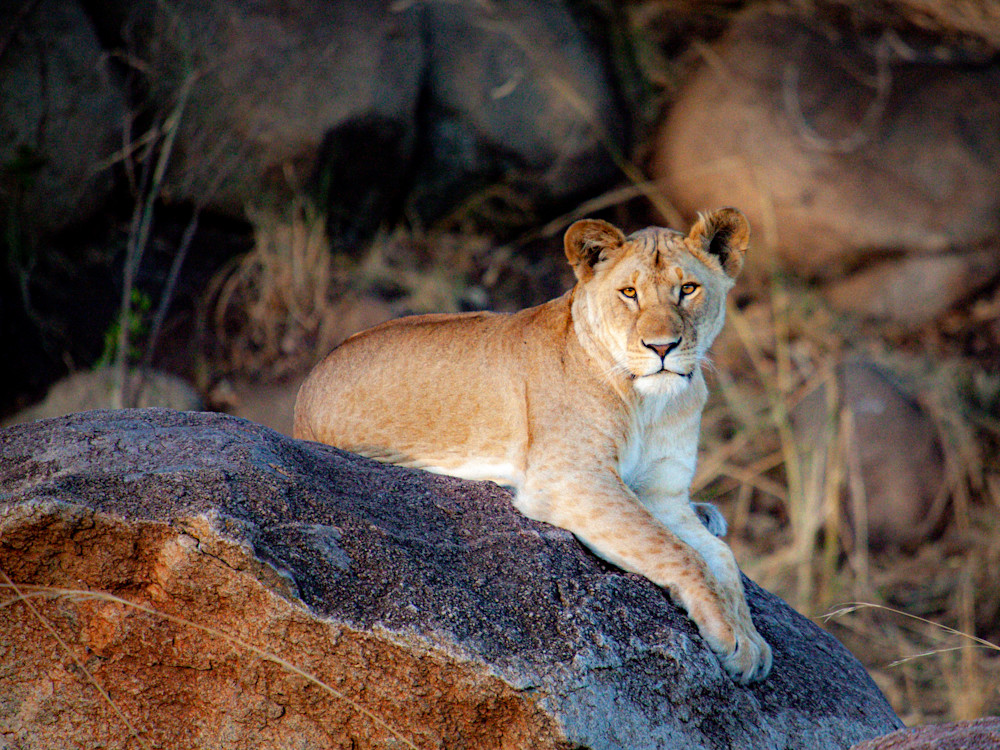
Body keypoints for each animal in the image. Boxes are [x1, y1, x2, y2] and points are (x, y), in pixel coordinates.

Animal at [294, 208, 772, 682]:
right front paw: (729, 634)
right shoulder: (573, 478)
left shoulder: (663, 494)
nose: (662, 348)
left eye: (688, 289)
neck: (649, 403)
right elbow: (678, 551)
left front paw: (750, 639)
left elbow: (721, 558)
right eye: (629, 293)